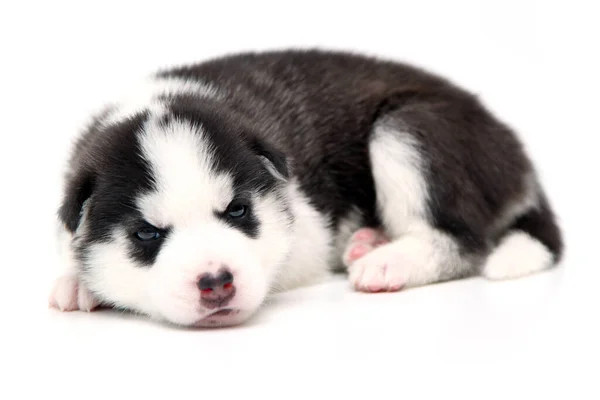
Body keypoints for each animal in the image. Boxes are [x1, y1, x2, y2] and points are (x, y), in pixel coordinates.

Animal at [49, 48, 564, 326]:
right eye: (147, 234)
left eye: (237, 211)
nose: (216, 282)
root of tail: (515, 152)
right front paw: (77, 279)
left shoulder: (308, 232)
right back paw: (369, 241)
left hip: (409, 128)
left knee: (462, 240)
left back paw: (388, 261)